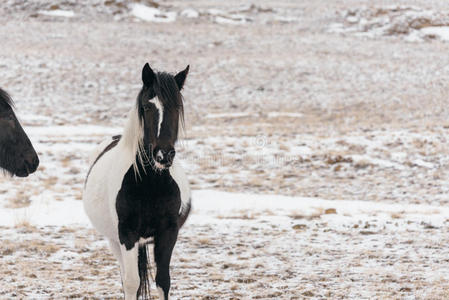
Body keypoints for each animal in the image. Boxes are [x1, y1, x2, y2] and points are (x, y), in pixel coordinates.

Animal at [84, 62, 191, 298]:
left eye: (177, 107)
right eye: (147, 107)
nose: (163, 155)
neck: (150, 185)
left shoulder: (168, 233)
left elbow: (163, 281)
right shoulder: (127, 235)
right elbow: (132, 282)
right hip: (115, 241)